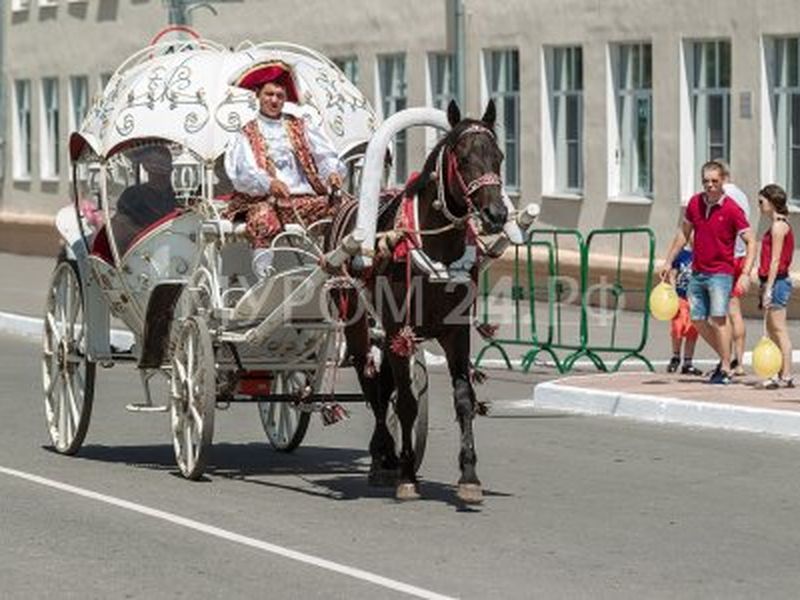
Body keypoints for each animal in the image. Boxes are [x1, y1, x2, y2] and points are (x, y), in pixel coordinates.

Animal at [330, 99, 506, 502]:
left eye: (499, 157)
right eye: (463, 157)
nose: (497, 214)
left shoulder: (455, 333)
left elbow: (463, 398)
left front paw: (469, 476)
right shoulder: (399, 329)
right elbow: (407, 403)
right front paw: (408, 475)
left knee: (383, 388)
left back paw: (385, 457)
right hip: (360, 329)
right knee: (373, 389)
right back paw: (384, 455)